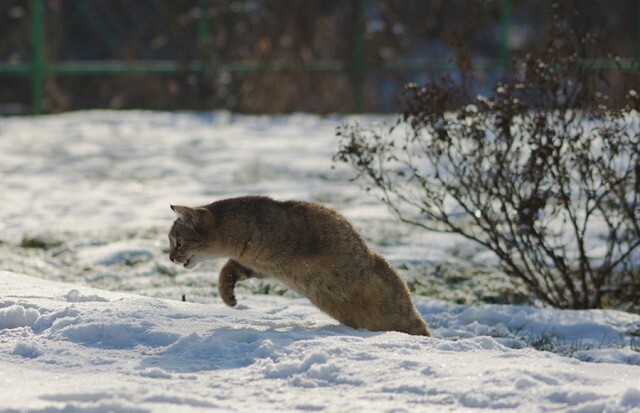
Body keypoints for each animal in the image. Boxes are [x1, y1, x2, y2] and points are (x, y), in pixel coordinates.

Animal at [169, 196, 430, 334]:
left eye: (178, 242)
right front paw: (228, 296)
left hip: (396, 310)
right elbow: (227, 270)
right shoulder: (257, 266)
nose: (171, 258)